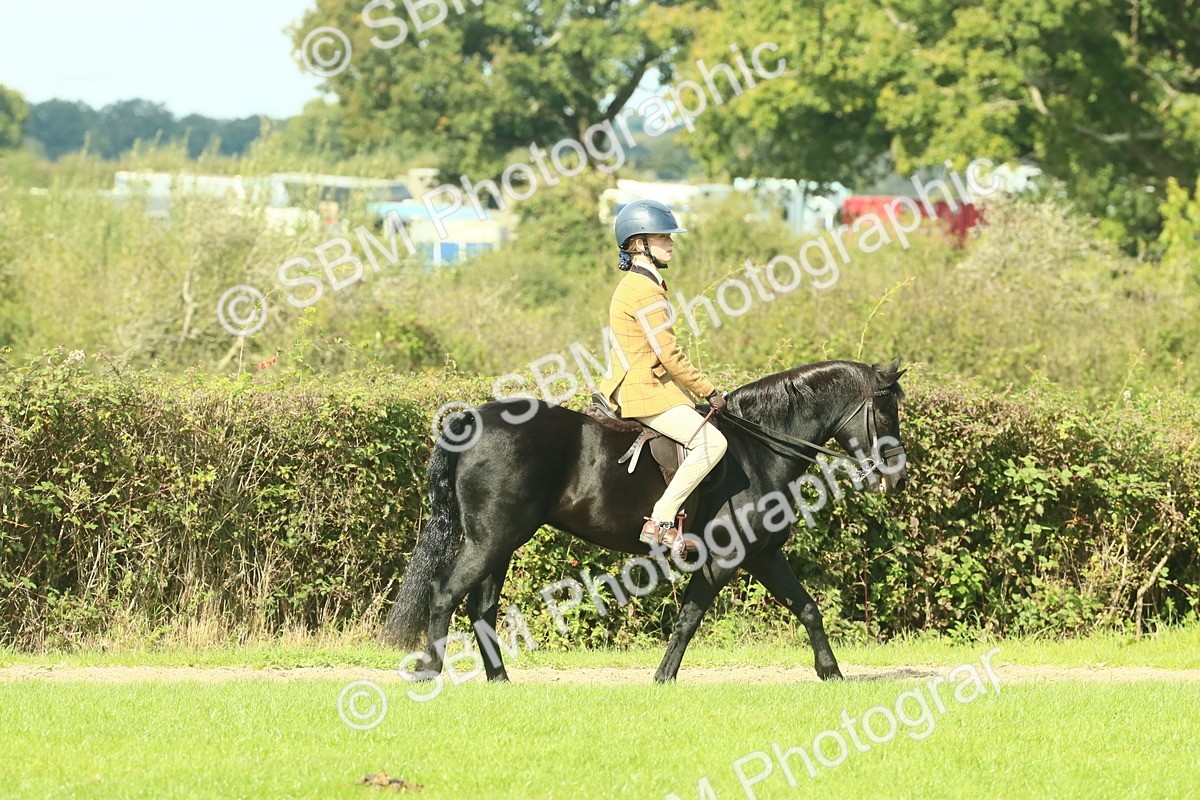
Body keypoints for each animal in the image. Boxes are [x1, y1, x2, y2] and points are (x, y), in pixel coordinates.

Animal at [383, 358, 909, 682]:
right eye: (886, 412)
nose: (898, 480)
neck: (759, 446)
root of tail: (471, 420)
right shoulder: (724, 560)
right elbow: (689, 618)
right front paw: (663, 678)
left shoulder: (764, 555)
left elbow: (807, 608)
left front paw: (832, 673)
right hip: (491, 538)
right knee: (445, 594)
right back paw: (432, 673)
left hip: (500, 541)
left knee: (482, 606)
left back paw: (500, 679)